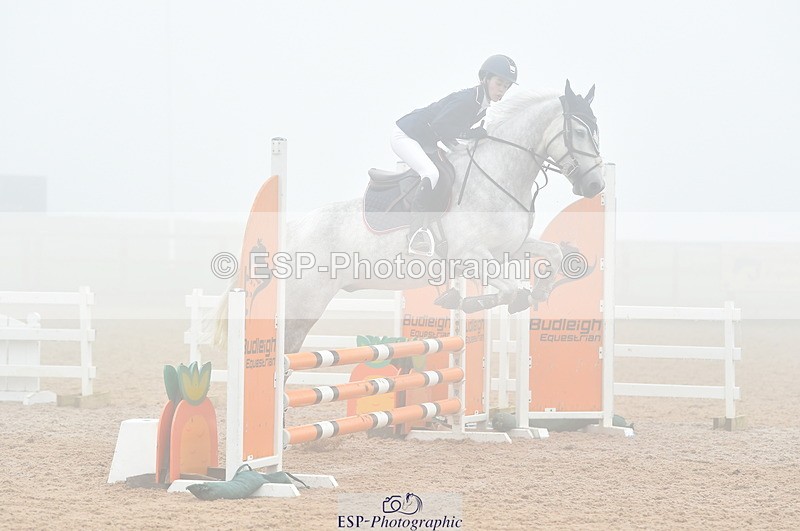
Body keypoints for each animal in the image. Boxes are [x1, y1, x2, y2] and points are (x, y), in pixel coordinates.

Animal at [219, 80, 605, 354]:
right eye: (579, 132)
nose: (596, 185)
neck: (499, 174)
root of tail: (291, 230)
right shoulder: (472, 256)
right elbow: (512, 291)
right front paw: (471, 300)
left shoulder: (508, 248)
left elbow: (554, 256)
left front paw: (539, 290)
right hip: (303, 303)